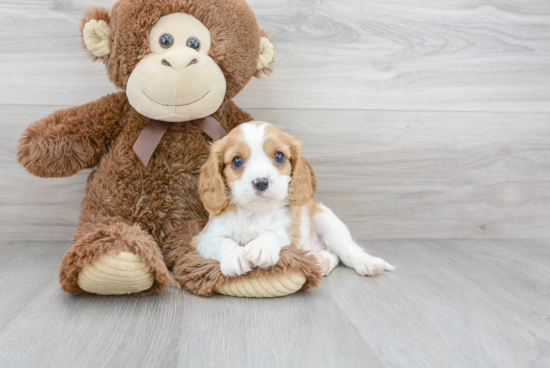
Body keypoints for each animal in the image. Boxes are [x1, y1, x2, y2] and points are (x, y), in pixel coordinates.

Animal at [192, 122, 394, 278]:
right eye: (236, 161)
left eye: (279, 156)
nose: (261, 182)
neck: (255, 212)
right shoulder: (203, 239)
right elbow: (222, 241)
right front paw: (235, 256)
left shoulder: (288, 234)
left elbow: (273, 234)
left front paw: (261, 246)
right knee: (333, 255)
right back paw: (321, 261)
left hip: (327, 221)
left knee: (347, 251)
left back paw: (368, 263)